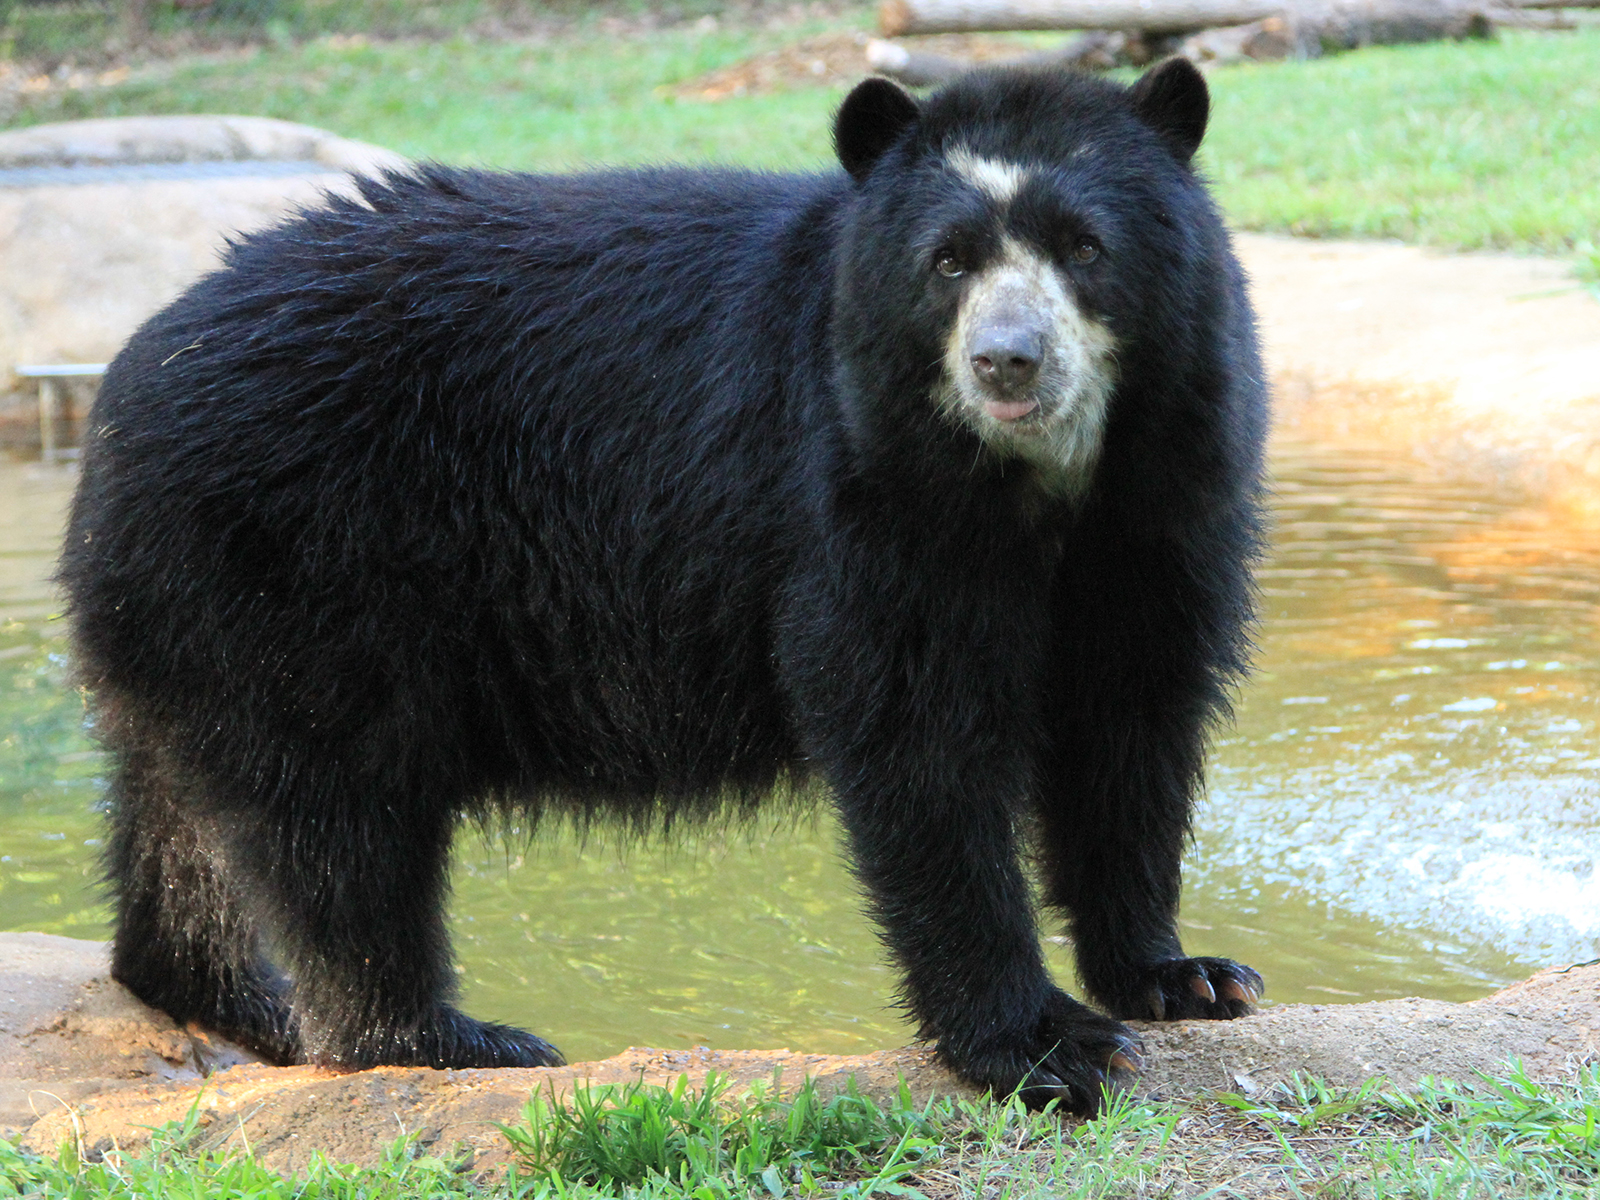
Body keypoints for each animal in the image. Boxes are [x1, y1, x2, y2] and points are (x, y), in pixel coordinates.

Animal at [59, 57, 1267, 1115]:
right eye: (948, 262)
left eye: (1085, 247)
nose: (1007, 361)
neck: (1040, 480)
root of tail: (123, 383)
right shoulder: (857, 479)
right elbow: (914, 732)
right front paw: (1045, 1046)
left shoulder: (1167, 495)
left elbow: (1134, 717)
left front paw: (1184, 974)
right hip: (303, 556)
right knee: (339, 813)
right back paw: (445, 1038)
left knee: (191, 820)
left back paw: (230, 999)